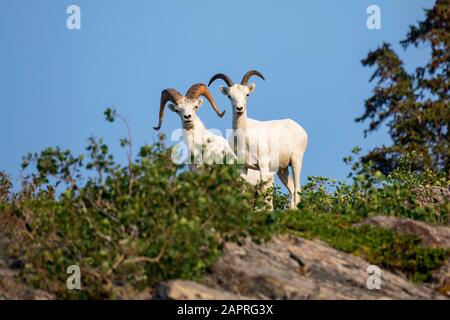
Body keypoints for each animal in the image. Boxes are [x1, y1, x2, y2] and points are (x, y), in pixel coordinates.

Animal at [208, 71, 308, 209]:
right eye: (229, 96)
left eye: (247, 94)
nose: (239, 108)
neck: (245, 139)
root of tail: (300, 129)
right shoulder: (243, 167)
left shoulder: (263, 166)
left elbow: (264, 191)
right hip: (282, 169)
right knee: (292, 189)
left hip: (296, 161)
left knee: (297, 189)